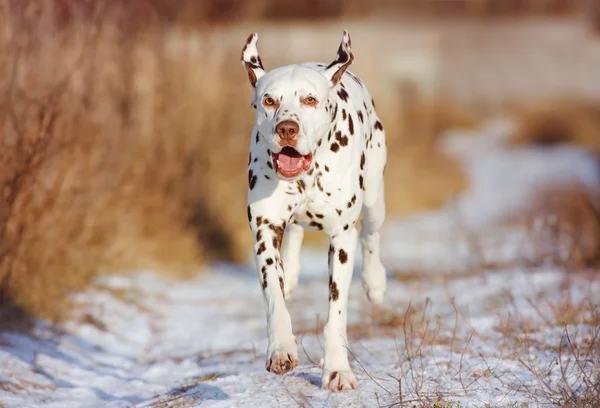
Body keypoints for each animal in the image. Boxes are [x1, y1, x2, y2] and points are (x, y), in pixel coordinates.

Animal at [244, 30, 390, 390]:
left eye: (310, 100)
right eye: (269, 100)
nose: (286, 128)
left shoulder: (341, 239)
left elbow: (336, 313)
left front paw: (337, 369)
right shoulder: (264, 232)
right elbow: (274, 296)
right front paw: (281, 348)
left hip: (374, 197)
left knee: (371, 235)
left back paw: (375, 282)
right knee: (295, 232)